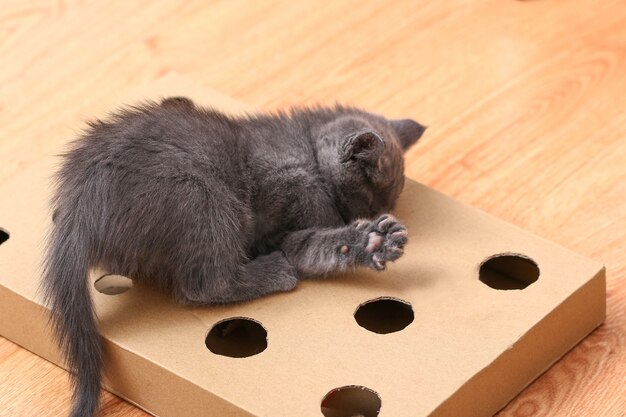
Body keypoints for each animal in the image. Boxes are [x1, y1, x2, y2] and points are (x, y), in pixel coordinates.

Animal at [42, 96, 424, 414]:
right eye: (364, 204)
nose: (356, 219)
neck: (303, 146)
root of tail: (77, 211)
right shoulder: (288, 201)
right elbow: (312, 246)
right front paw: (373, 240)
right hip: (202, 196)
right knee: (203, 285)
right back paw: (273, 272)